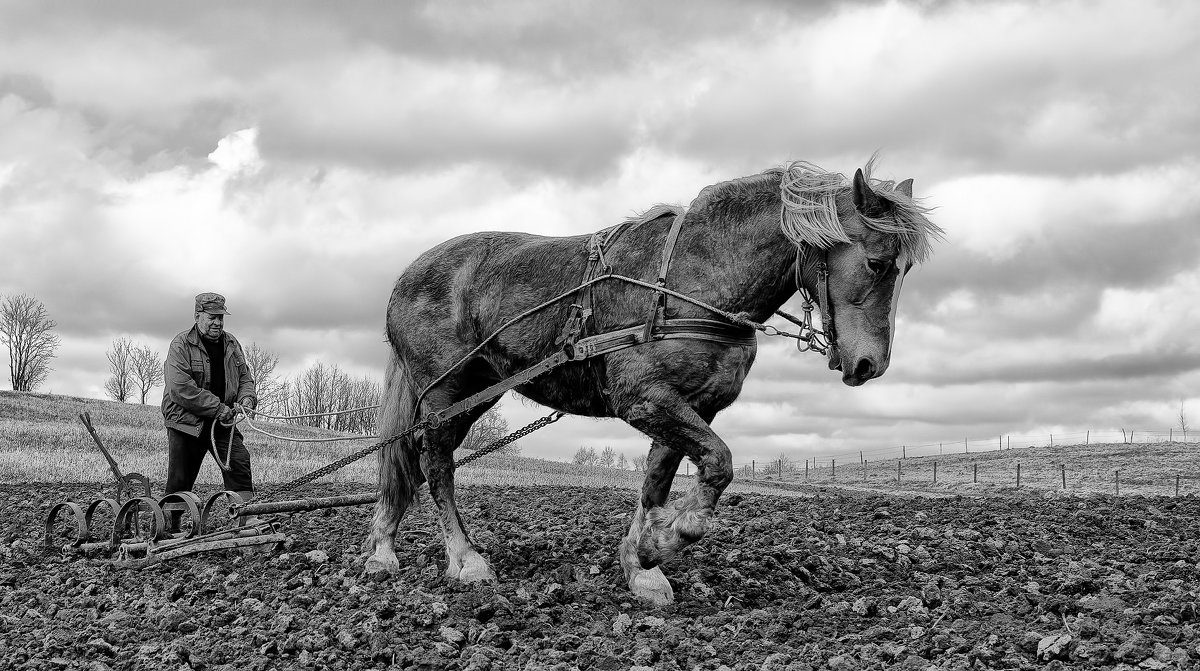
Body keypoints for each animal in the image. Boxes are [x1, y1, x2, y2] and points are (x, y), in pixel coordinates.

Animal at [360, 159, 940, 607]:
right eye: (876, 262)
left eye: (906, 269)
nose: (869, 365)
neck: (694, 277)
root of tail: (406, 277)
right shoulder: (643, 398)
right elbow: (719, 463)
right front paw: (668, 540)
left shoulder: (692, 405)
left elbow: (660, 478)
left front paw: (642, 565)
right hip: (442, 389)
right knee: (434, 463)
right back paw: (465, 559)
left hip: (477, 391)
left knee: (411, 463)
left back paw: (383, 549)